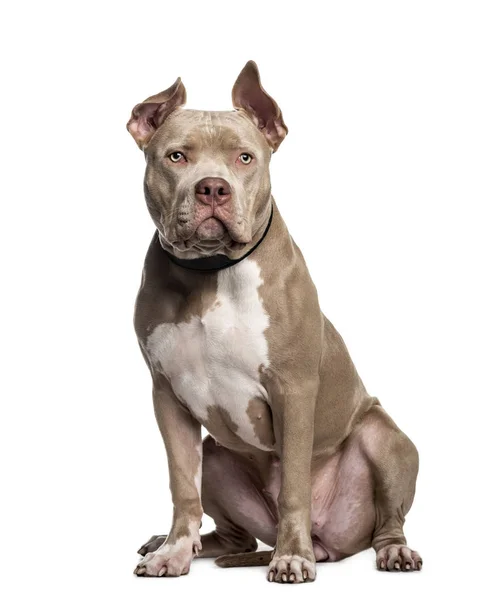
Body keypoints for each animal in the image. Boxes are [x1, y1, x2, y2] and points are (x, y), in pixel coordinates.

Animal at [126, 59, 422, 580]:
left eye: (245, 158)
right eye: (176, 156)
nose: (213, 188)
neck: (212, 273)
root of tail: (332, 544)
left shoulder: (294, 389)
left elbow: (295, 488)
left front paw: (291, 557)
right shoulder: (167, 395)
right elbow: (182, 485)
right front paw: (173, 552)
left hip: (383, 438)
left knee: (387, 521)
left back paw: (390, 551)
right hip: (216, 456)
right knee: (233, 533)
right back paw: (180, 543)